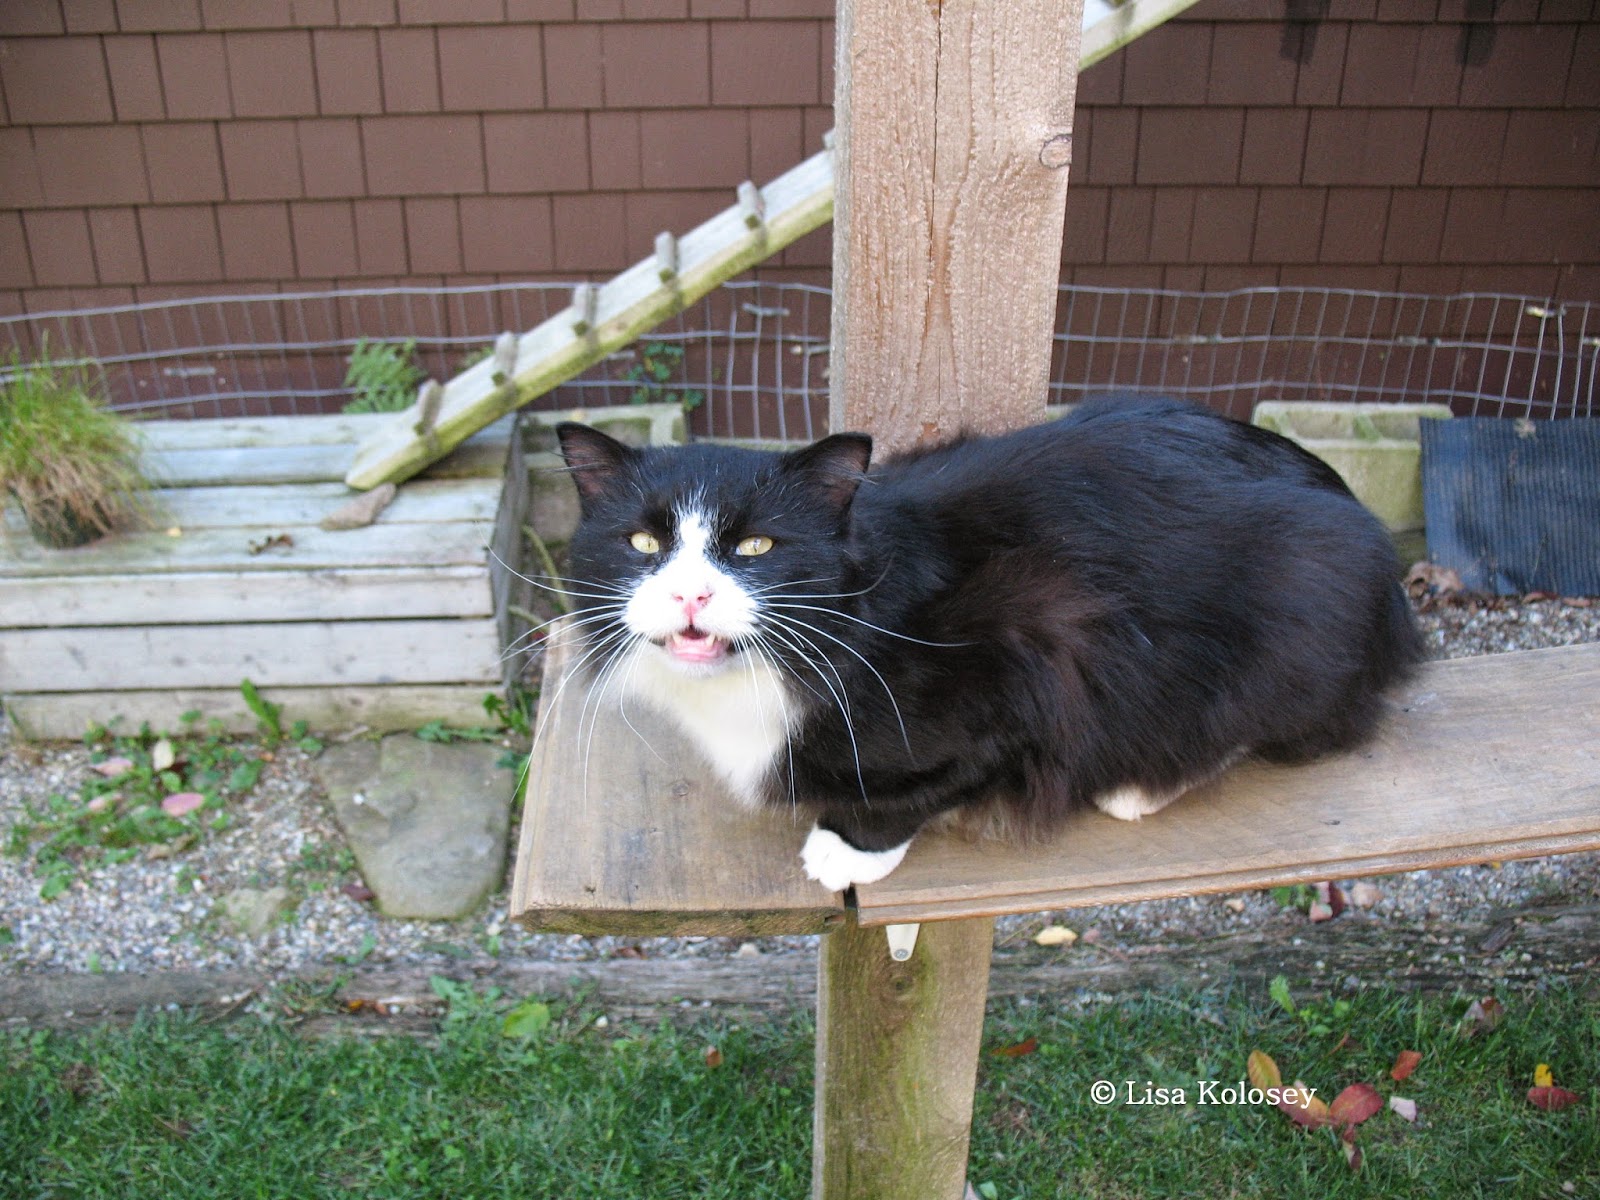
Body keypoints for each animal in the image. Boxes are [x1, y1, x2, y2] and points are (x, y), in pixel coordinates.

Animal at [552, 395, 1425, 892]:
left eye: (756, 547)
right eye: (642, 543)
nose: (690, 593)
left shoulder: (1037, 645)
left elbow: (940, 779)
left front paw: (848, 847)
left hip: (1298, 607)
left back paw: (1141, 783)